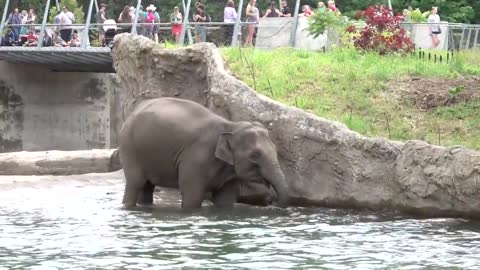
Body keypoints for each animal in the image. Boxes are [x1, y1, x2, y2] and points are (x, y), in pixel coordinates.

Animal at [119, 97, 288, 211]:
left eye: (275, 150)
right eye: (254, 155)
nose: (272, 201)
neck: (230, 125)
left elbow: (224, 199)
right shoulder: (197, 159)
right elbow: (192, 195)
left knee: (147, 187)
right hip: (129, 147)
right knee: (136, 183)